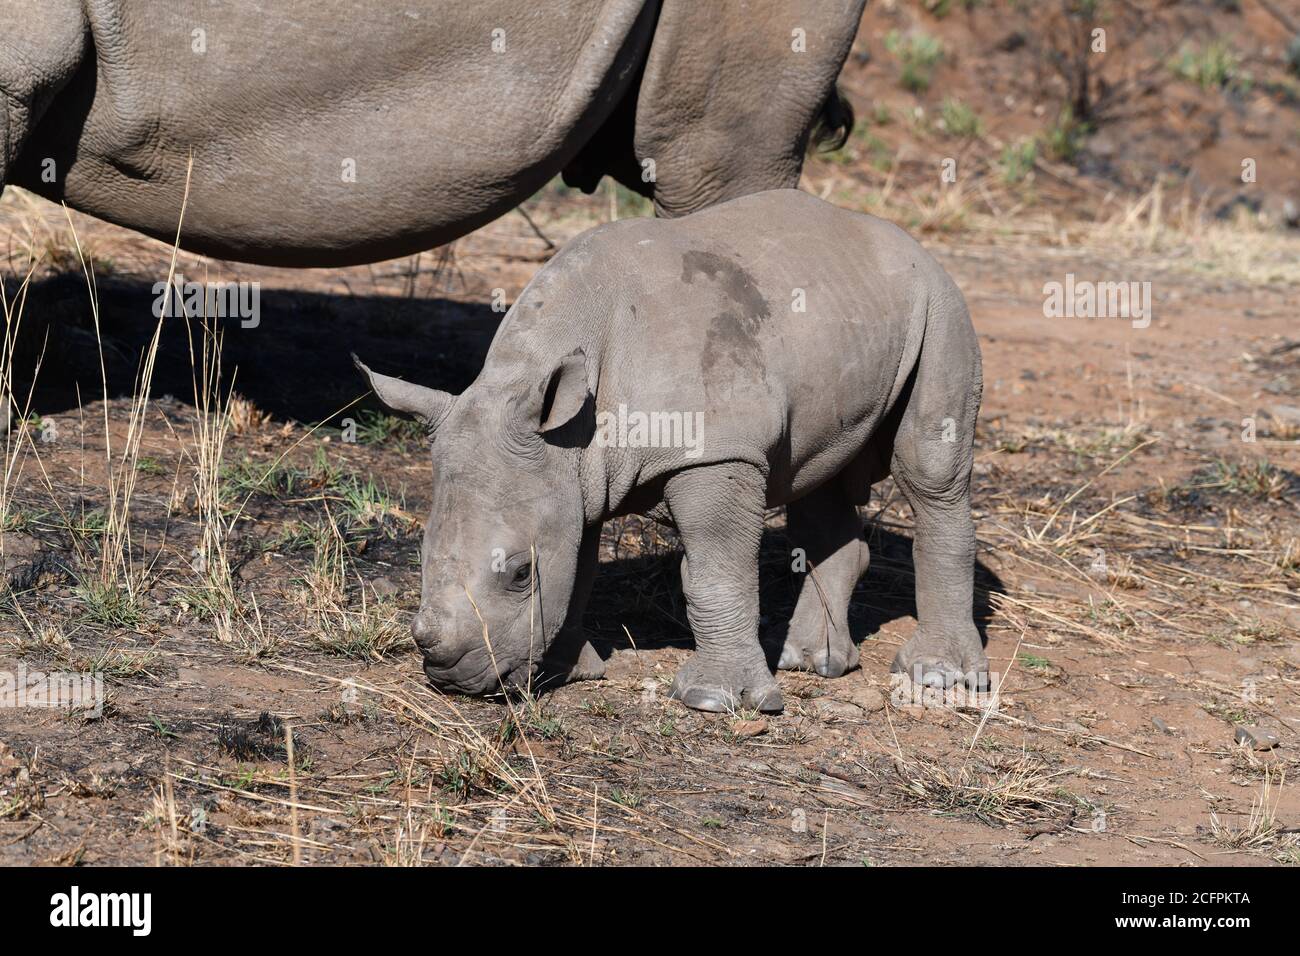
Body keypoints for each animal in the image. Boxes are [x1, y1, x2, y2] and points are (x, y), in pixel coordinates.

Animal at [356, 188, 982, 712]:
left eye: (519, 573)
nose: (450, 675)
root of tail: (906, 240)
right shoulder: (568, 469)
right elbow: (578, 563)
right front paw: (568, 672)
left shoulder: (718, 451)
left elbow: (714, 569)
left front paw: (715, 700)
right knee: (821, 473)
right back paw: (812, 662)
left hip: (942, 305)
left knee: (930, 472)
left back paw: (937, 677)